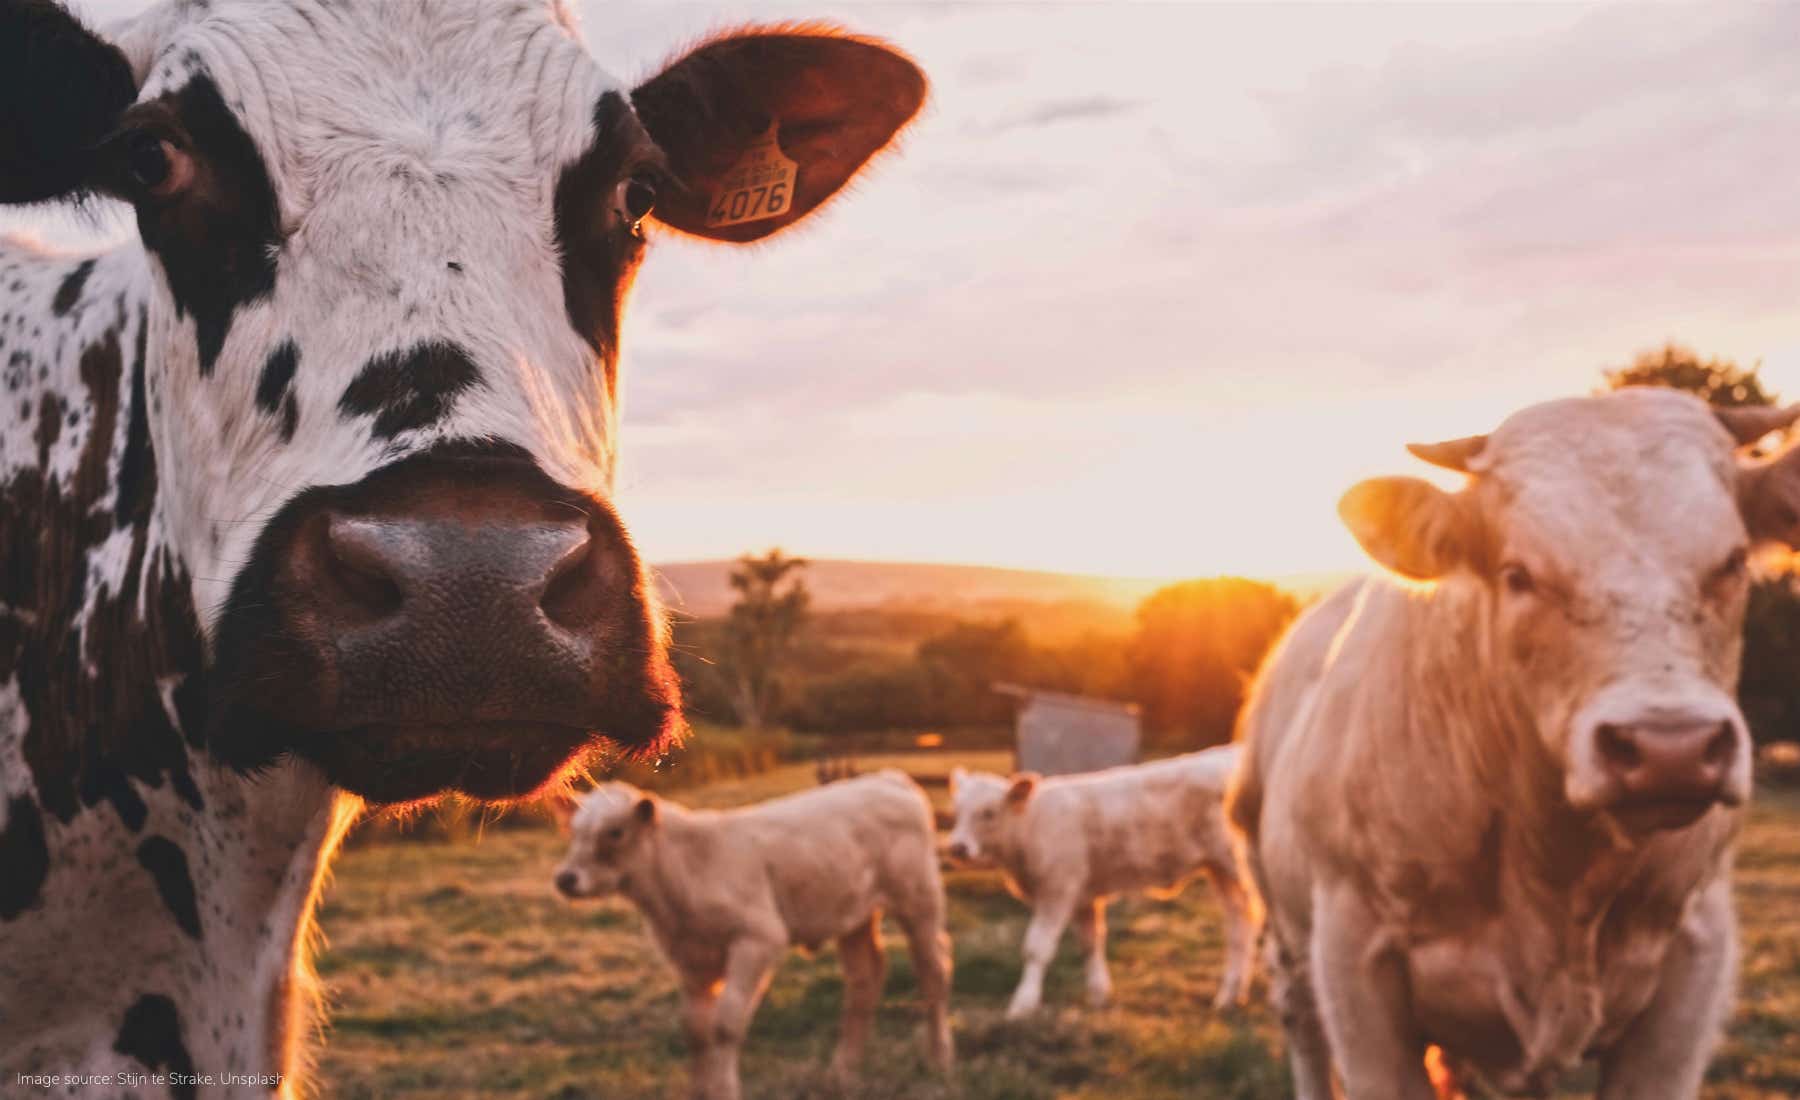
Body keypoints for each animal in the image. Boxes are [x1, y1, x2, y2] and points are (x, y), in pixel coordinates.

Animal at [553, 772, 955, 1100]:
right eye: (573, 830)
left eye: (615, 831)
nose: (566, 878)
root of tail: (888, 779)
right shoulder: (690, 958)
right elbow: (695, 1030)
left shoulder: (758, 938)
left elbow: (725, 1025)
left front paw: (724, 1091)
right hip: (853, 915)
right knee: (864, 980)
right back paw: (842, 1072)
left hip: (919, 899)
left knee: (933, 971)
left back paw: (939, 1059)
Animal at [945, 746, 1257, 1019]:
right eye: (957, 811)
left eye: (989, 812)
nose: (957, 847)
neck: (1031, 826)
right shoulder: (1084, 895)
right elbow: (1090, 943)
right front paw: (1098, 994)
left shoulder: (1058, 889)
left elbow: (1036, 948)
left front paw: (1023, 1003)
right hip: (1220, 870)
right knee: (1239, 923)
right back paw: (1231, 995)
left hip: (1237, 865)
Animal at [1228, 388, 1800, 1099]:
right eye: (1518, 573)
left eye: (1733, 561)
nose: (1671, 748)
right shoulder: (1355, 966)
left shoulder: (1693, 962)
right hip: (1283, 926)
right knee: (1301, 1025)